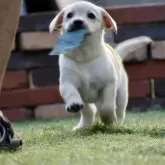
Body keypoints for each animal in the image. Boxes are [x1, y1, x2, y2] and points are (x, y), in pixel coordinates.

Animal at [49, 0, 152, 130]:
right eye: (69, 15)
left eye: (91, 15)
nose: (77, 21)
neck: (84, 56)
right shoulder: (67, 83)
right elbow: (71, 93)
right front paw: (73, 104)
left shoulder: (108, 85)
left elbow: (106, 107)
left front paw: (109, 120)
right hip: (86, 99)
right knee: (89, 110)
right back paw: (82, 126)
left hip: (122, 95)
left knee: (119, 111)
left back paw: (117, 123)